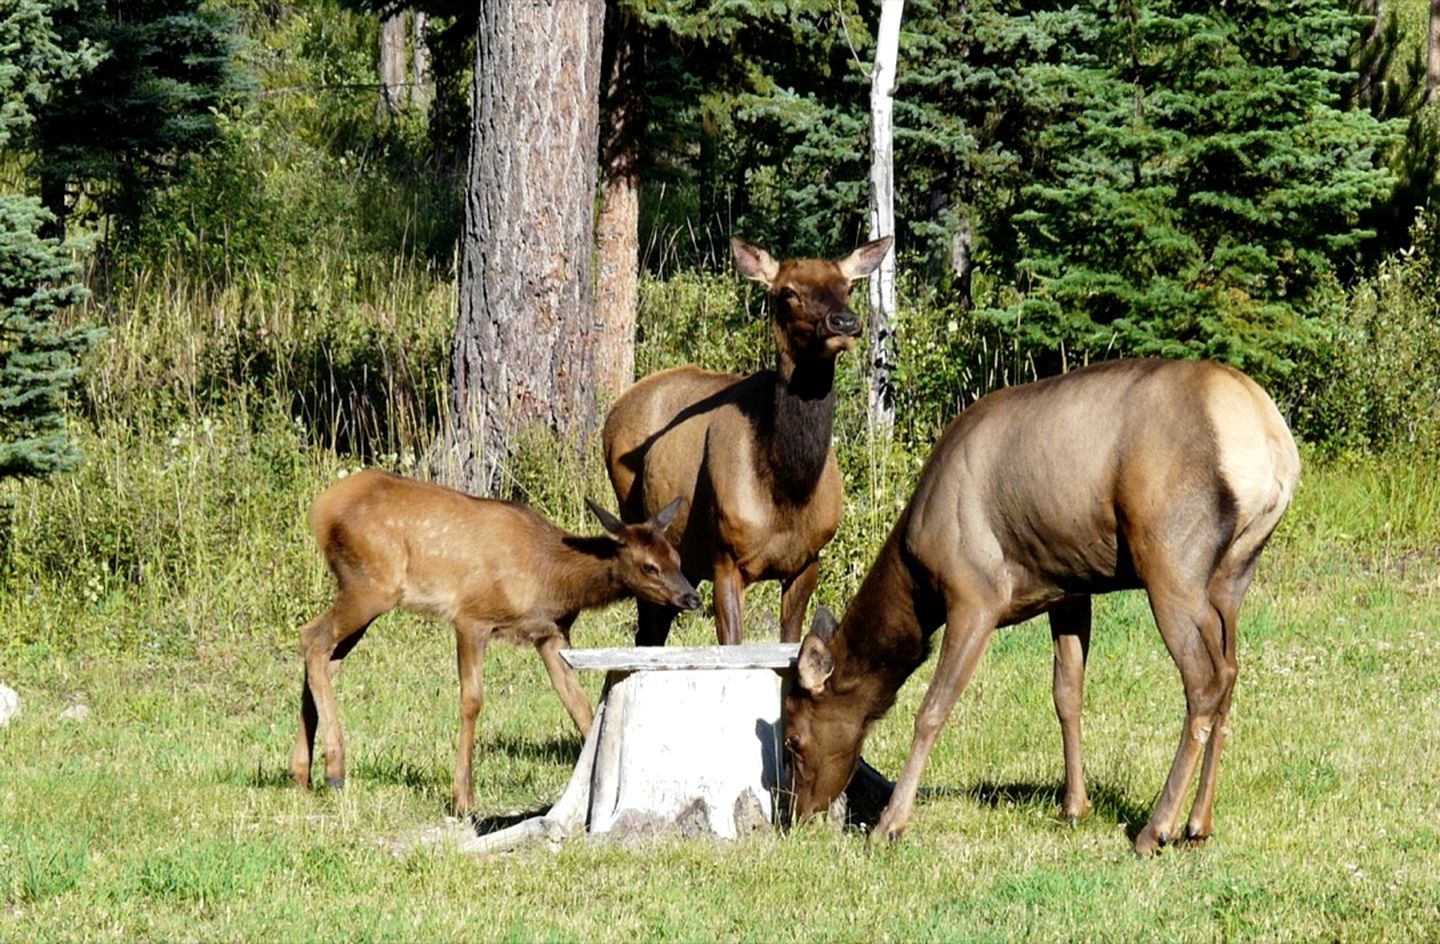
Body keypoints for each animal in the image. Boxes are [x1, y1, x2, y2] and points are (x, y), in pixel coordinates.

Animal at [286, 469, 696, 811]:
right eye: (649, 566)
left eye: (676, 556)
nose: (690, 596)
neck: (551, 580)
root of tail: (320, 512)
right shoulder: (472, 618)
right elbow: (472, 700)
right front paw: (463, 798)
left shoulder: (551, 634)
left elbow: (578, 703)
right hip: (371, 585)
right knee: (312, 638)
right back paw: (334, 769)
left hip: (362, 593)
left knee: (326, 657)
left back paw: (302, 774)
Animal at [601, 236, 892, 650]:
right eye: (788, 291)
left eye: (848, 286)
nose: (845, 322)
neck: (788, 492)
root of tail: (616, 409)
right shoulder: (726, 559)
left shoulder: (808, 560)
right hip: (634, 519)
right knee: (648, 630)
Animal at [783, 355, 1301, 857]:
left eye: (792, 739)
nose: (796, 815)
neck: (917, 583)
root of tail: (1272, 441)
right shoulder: (1069, 590)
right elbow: (1067, 694)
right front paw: (1074, 806)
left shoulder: (975, 594)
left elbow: (932, 709)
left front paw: (888, 825)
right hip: (1233, 574)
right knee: (1230, 672)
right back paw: (1198, 824)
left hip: (1172, 560)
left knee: (1204, 681)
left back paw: (1156, 829)